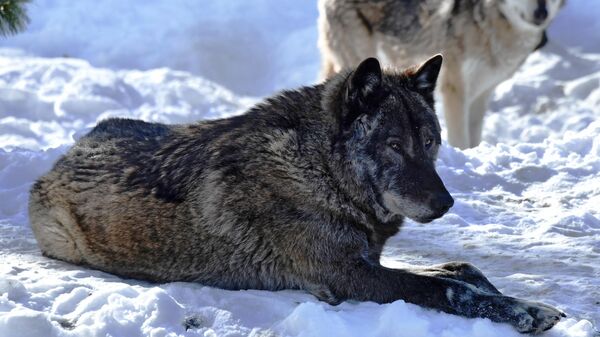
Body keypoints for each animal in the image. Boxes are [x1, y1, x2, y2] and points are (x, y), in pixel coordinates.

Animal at [28, 55, 564, 334]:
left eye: (430, 142)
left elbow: (462, 270)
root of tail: (70, 150)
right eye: (394, 145)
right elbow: (449, 287)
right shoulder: (346, 276)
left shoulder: (365, 260)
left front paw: (522, 300)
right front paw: (526, 311)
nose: (446, 204)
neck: (321, 172)